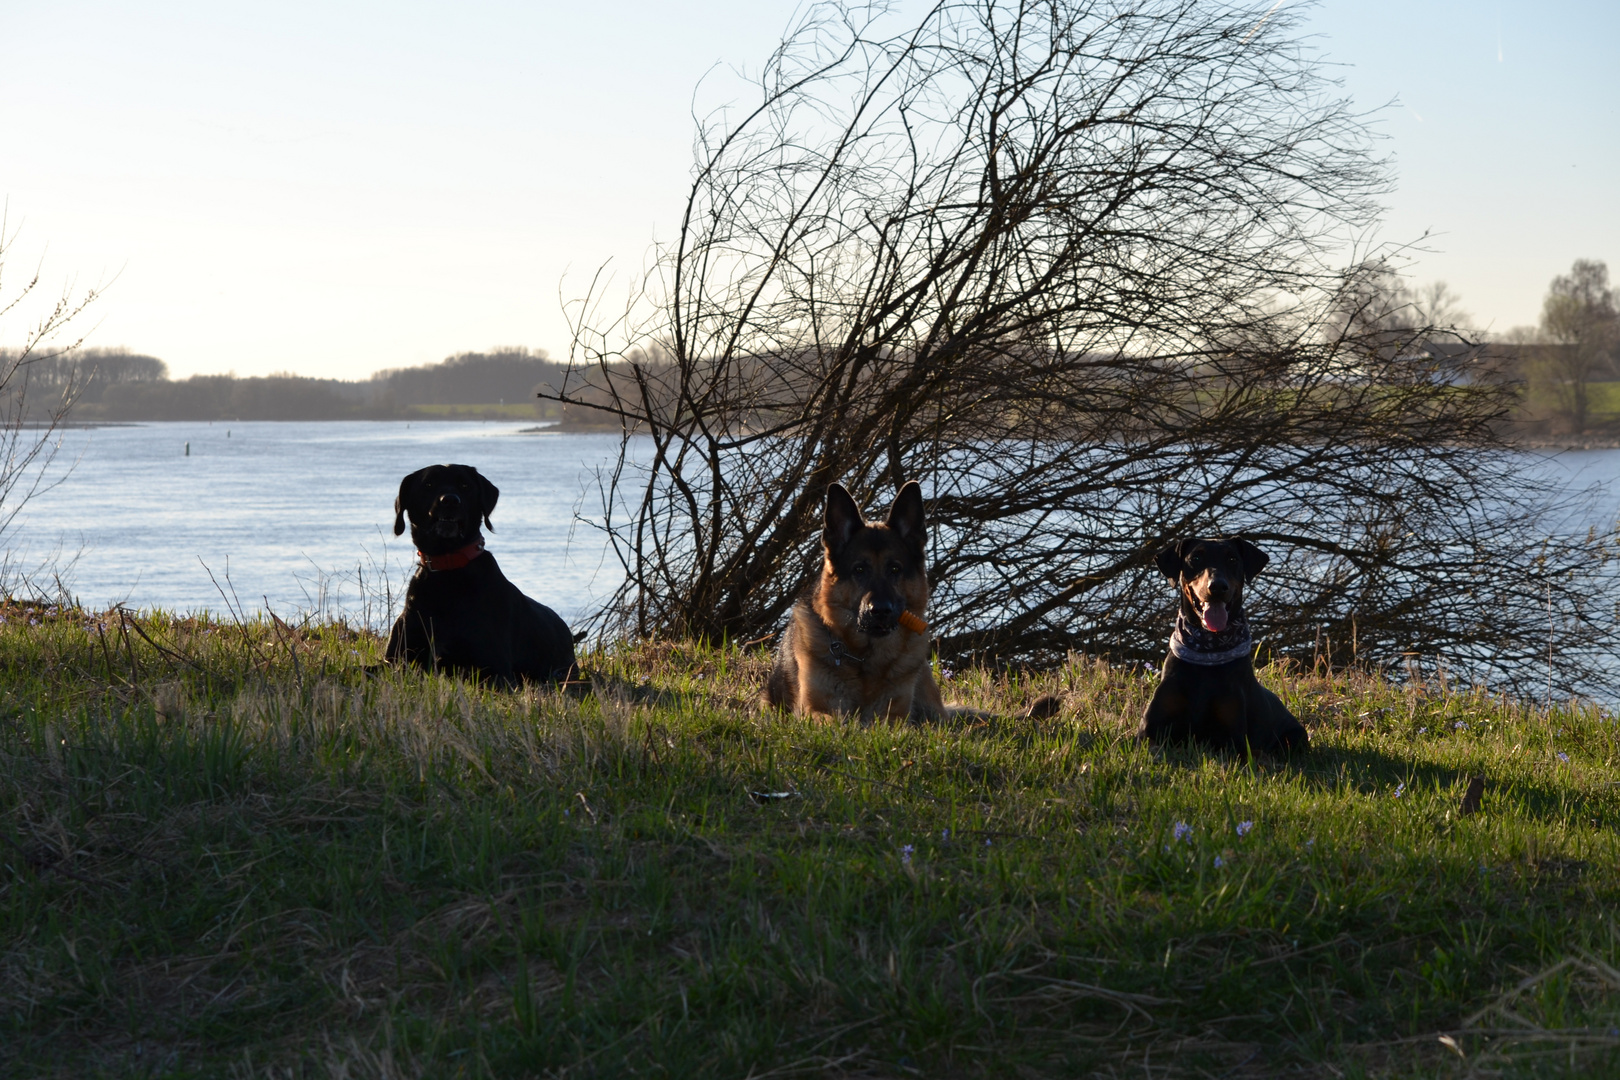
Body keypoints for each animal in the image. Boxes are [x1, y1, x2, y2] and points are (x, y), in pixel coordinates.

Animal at [385, 463, 576, 683]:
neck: (447, 572)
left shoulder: (495, 669)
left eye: (465, 485)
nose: (450, 500)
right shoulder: (396, 660)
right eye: (429, 484)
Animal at [764, 482, 946, 725]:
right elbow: (834, 720)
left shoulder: (897, 716)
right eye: (859, 569)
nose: (880, 610)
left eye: (895, 568)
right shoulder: (813, 709)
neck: (864, 659)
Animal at [1134, 537, 1308, 757]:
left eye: (1232, 558)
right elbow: (1152, 745)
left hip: (1295, 736)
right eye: (1196, 557)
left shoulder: (1232, 738)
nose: (1217, 586)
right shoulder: (1148, 730)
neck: (1207, 652)